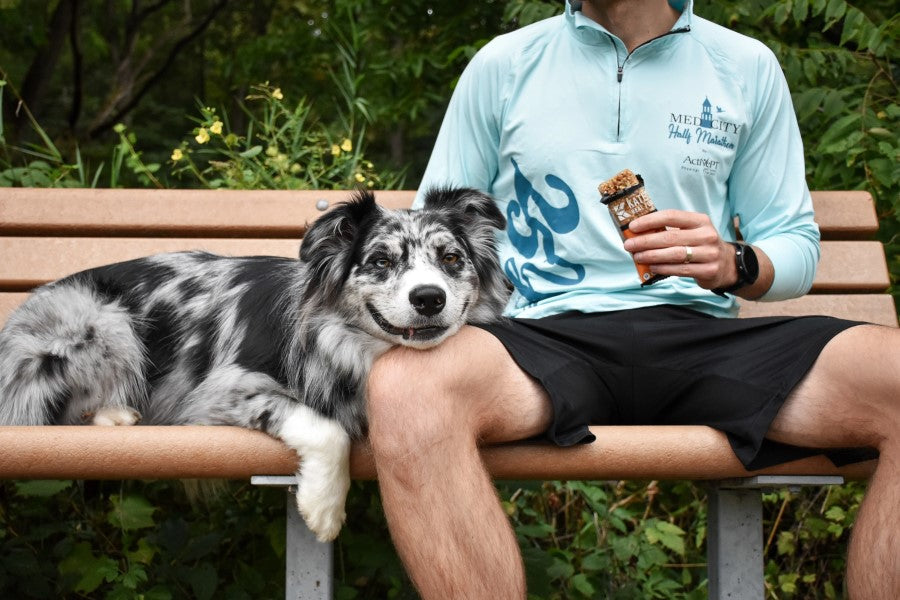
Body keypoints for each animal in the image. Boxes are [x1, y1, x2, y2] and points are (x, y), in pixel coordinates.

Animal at [0, 186, 506, 540]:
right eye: (381, 260)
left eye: (451, 257)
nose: (429, 298)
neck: (354, 345)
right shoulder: (218, 389)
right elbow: (325, 427)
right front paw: (324, 507)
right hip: (99, 321)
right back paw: (116, 415)